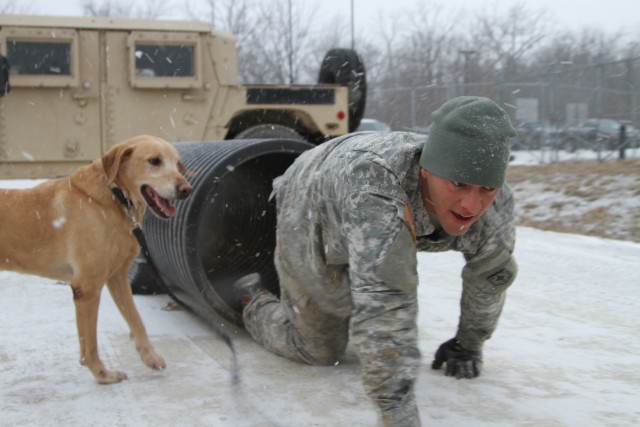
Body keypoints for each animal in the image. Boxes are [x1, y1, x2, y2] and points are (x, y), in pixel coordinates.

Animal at [0, 136, 191, 384]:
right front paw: (102, 374)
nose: (187, 190)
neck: (115, 197)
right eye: (155, 161)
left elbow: (136, 320)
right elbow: (89, 344)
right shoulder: (87, 287)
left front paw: (149, 356)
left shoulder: (118, 277)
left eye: (178, 164)